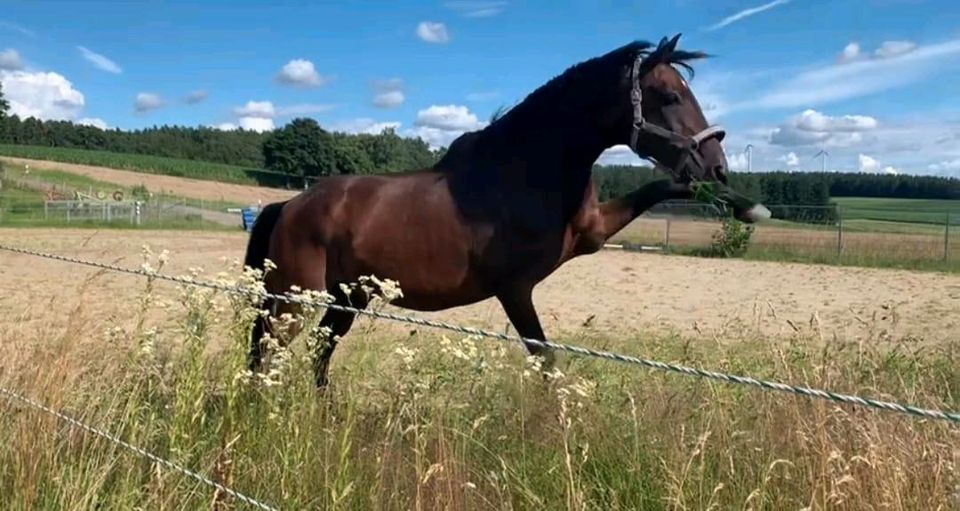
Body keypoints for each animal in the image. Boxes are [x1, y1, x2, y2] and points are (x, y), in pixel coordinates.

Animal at [244, 35, 768, 388]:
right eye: (672, 95)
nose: (718, 165)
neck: (527, 170)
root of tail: (289, 204)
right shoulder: (515, 289)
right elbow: (545, 361)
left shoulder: (593, 234)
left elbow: (666, 185)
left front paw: (749, 208)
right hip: (292, 299)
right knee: (265, 353)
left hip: (348, 298)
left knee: (319, 352)